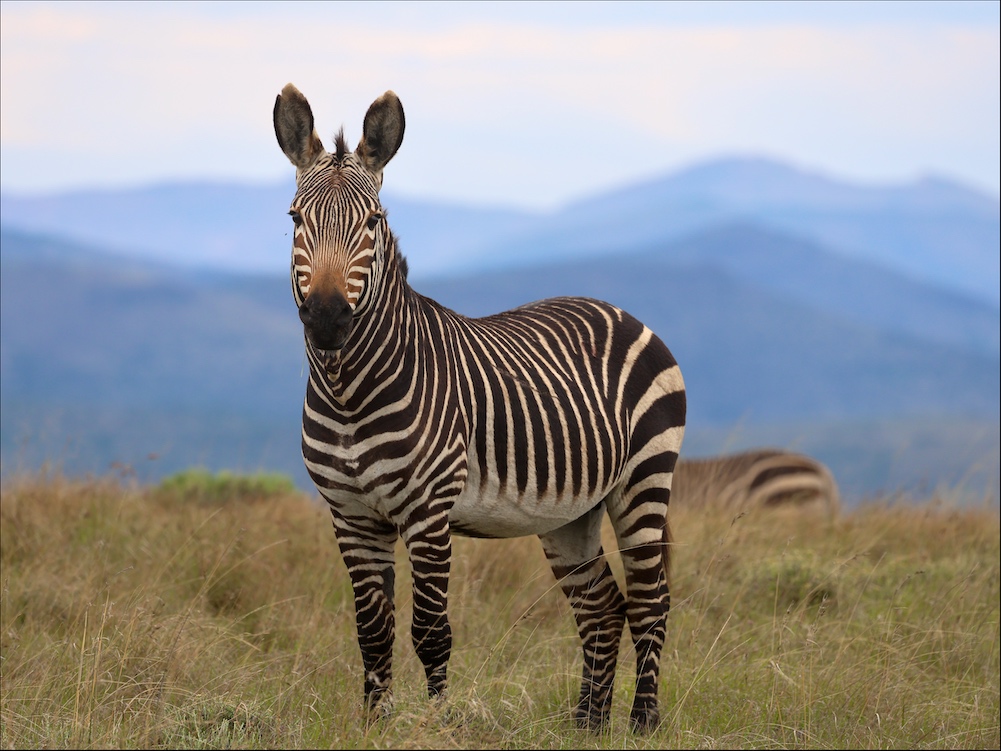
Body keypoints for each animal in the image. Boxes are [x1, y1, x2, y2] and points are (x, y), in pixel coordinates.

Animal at [273, 84, 686, 732]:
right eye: (295, 219)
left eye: (373, 222)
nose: (327, 318)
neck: (348, 394)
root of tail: (620, 311)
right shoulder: (351, 515)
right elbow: (372, 633)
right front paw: (375, 727)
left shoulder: (428, 512)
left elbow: (430, 631)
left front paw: (436, 725)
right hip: (571, 512)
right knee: (601, 606)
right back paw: (587, 724)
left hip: (644, 479)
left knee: (649, 601)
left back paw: (642, 723)